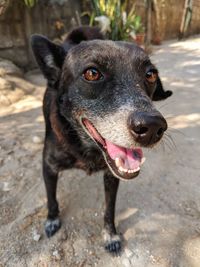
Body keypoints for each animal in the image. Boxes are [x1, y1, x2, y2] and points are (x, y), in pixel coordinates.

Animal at [30, 26, 172, 254]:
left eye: (150, 74)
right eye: (92, 73)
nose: (152, 127)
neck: (86, 148)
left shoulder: (111, 176)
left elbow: (109, 209)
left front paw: (110, 235)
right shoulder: (48, 167)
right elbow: (51, 199)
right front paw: (52, 220)